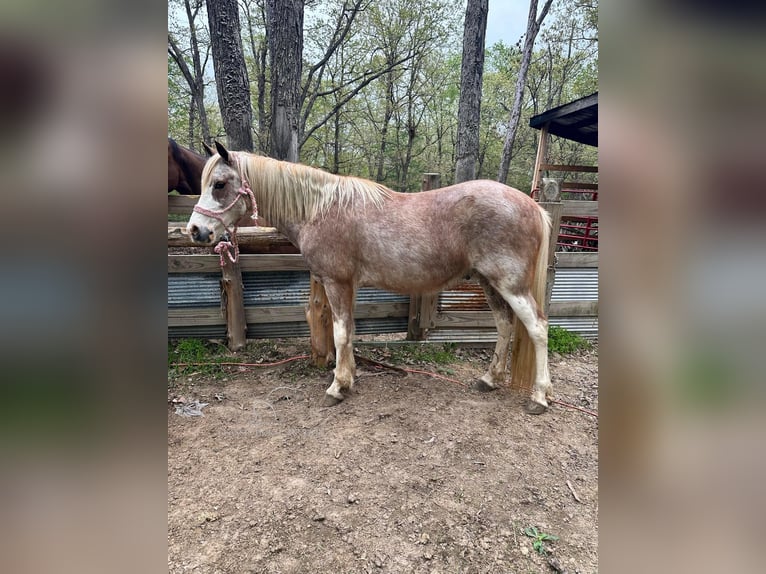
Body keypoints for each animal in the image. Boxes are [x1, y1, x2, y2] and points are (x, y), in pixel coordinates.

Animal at [189, 142, 556, 416]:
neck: (319, 209)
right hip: (488, 282)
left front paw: (337, 387)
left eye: (219, 184)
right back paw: (489, 380)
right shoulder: (346, 286)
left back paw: (539, 397)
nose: (196, 231)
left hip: (510, 285)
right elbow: (348, 332)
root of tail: (533, 205)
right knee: (505, 325)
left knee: (537, 327)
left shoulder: (337, 283)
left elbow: (339, 334)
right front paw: (349, 378)